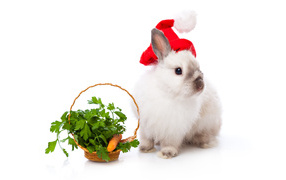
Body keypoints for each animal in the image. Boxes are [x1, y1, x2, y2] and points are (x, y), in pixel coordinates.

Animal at [133, 28, 222, 159]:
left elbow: (169, 142)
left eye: (199, 69)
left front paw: (167, 153)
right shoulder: (145, 124)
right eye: (178, 70)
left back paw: (203, 142)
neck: (167, 92)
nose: (200, 85)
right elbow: (146, 138)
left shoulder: (173, 129)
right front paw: (145, 148)